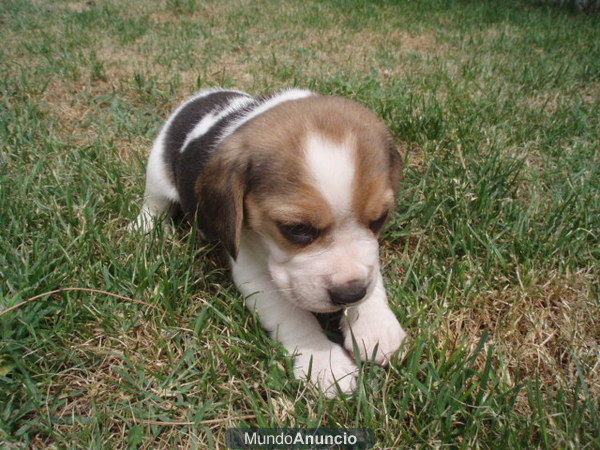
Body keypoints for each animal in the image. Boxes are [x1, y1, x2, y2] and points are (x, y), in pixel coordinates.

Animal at [129, 89, 406, 398]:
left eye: (379, 219)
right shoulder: (253, 272)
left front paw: (374, 325)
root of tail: (206, 95)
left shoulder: (368, 255)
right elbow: (292, 316)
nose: (350, 294)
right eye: (297, 229)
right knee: (153, 203)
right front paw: (325, 362)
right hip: (157, 170)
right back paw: (146, 228)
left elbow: (372, 273)